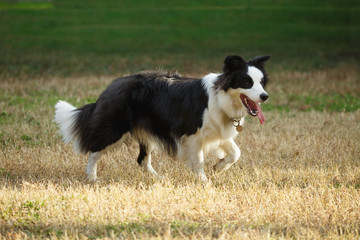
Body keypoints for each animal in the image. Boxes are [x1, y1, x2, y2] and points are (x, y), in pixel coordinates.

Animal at [54, 54, 270, 182]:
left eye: (262, 82)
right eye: (247, 82)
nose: (265, 96)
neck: (221, 97)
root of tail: (111, 87)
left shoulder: (218, 130)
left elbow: (236, 152)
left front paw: (219, 167)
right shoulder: (192, 134)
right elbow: (199, 160)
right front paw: (204, 181)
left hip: (146, 130)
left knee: (142, 159)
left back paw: (158, 178)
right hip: (115, 127)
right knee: (95, 149)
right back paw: (92, 177)